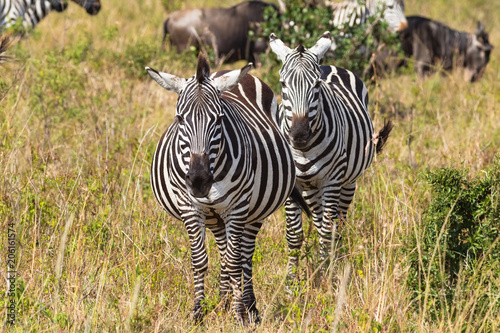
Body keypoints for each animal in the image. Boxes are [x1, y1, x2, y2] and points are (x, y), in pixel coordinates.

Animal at [145, 54, 308, 324]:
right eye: (180, 119)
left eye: (219, 120)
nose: (198, 180)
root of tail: (228, 72)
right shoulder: (190, 207)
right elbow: (200, 260)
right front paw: (198, 312)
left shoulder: (238, 207)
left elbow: (234, 261)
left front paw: (238, 314)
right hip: (214, 216)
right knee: (223, 249)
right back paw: (222, 301)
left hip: (254, 211)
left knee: (244, 255)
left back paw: (250, 307)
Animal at [272, 31, 392, 280]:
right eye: (283, 84)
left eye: (316, 85)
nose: (299, 134)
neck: (303, 151)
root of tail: (329, 65)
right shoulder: (292, 186)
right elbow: (294, 235)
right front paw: (291, 282)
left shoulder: (332, 180)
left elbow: (328, 230)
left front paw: (324, 276)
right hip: (311, 188)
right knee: (320, 221)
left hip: (347, 182)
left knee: (339, 222)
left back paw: (338, 257)